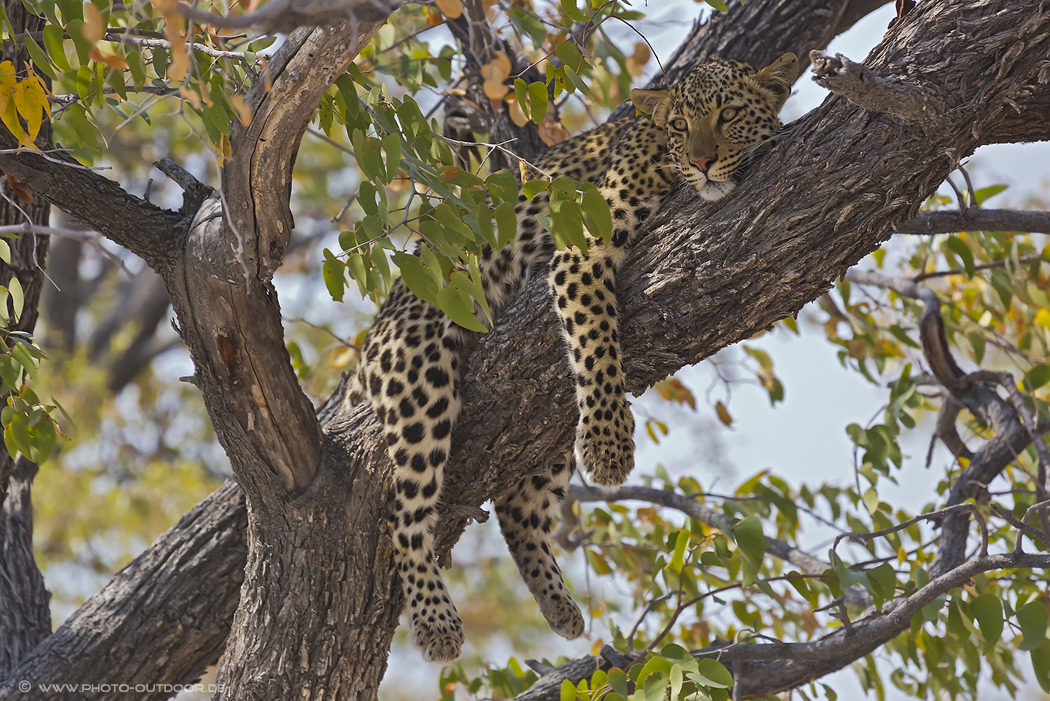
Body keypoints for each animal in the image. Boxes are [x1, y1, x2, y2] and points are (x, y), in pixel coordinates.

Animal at [340, 53, 797, 663]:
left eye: (728, 115)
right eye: (680, 125)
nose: (701, 163)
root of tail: (374, 333)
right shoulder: (582, 247)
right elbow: (596, 344)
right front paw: (607, 447)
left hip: (544, 434)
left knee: (517, 509)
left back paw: (558, 603)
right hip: (418, 369)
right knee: (405, 514)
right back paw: (436, 621)